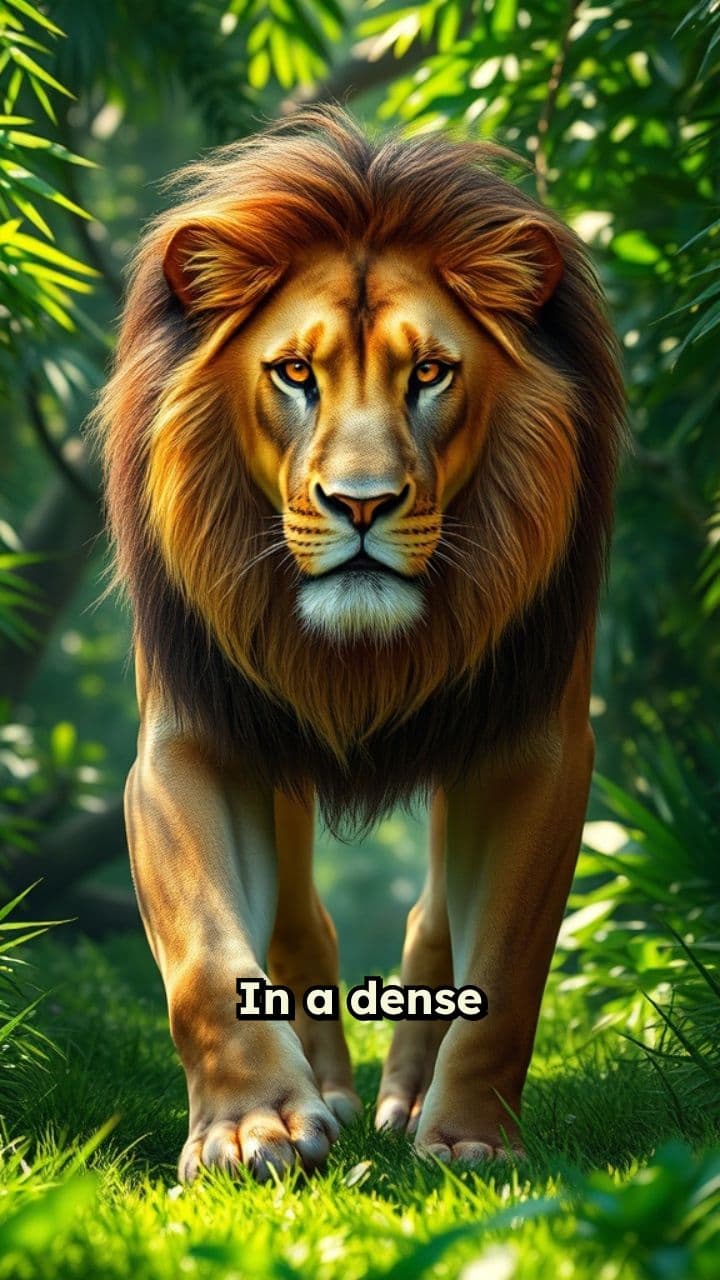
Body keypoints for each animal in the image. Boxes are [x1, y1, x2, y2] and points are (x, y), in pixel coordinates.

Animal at [96, 107, 623, 1180]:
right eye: (295, 372)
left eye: (430, 373)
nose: (363, 503)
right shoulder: (190, 735)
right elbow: (207, 961)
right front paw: (253, 1127)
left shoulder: (537, 743)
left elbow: (506, 973)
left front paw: (470, 1138)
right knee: (299, 915)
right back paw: (331, 1089)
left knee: (437, 918)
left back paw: (408, 1098)